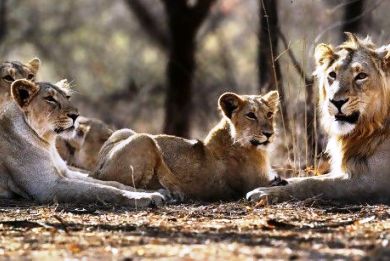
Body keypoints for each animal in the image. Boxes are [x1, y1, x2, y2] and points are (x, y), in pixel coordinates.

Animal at [0, 78, 164, 206]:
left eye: (67, 97)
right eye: (50, 99)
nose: (75, 115)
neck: (48, 142)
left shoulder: (65, 171)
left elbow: (110, 183)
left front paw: (151, 191)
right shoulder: (46, 186)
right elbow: (100, 190)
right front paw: (144, 197)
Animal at [91, 90, 280, 200]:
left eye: (269, 114)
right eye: (251, 115)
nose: (269, 134)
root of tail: (97, 168)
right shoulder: (255, 183)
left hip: (125, 131)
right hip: (145, 139)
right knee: (132, 186)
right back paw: (168, 193)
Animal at [248, 32, 390, 203]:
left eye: (361, 76)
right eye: (332, 75)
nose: (336, 101)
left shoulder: (374, 180)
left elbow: (313, 183)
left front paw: (264, 193)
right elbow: (304, 178)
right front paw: (274, 183)